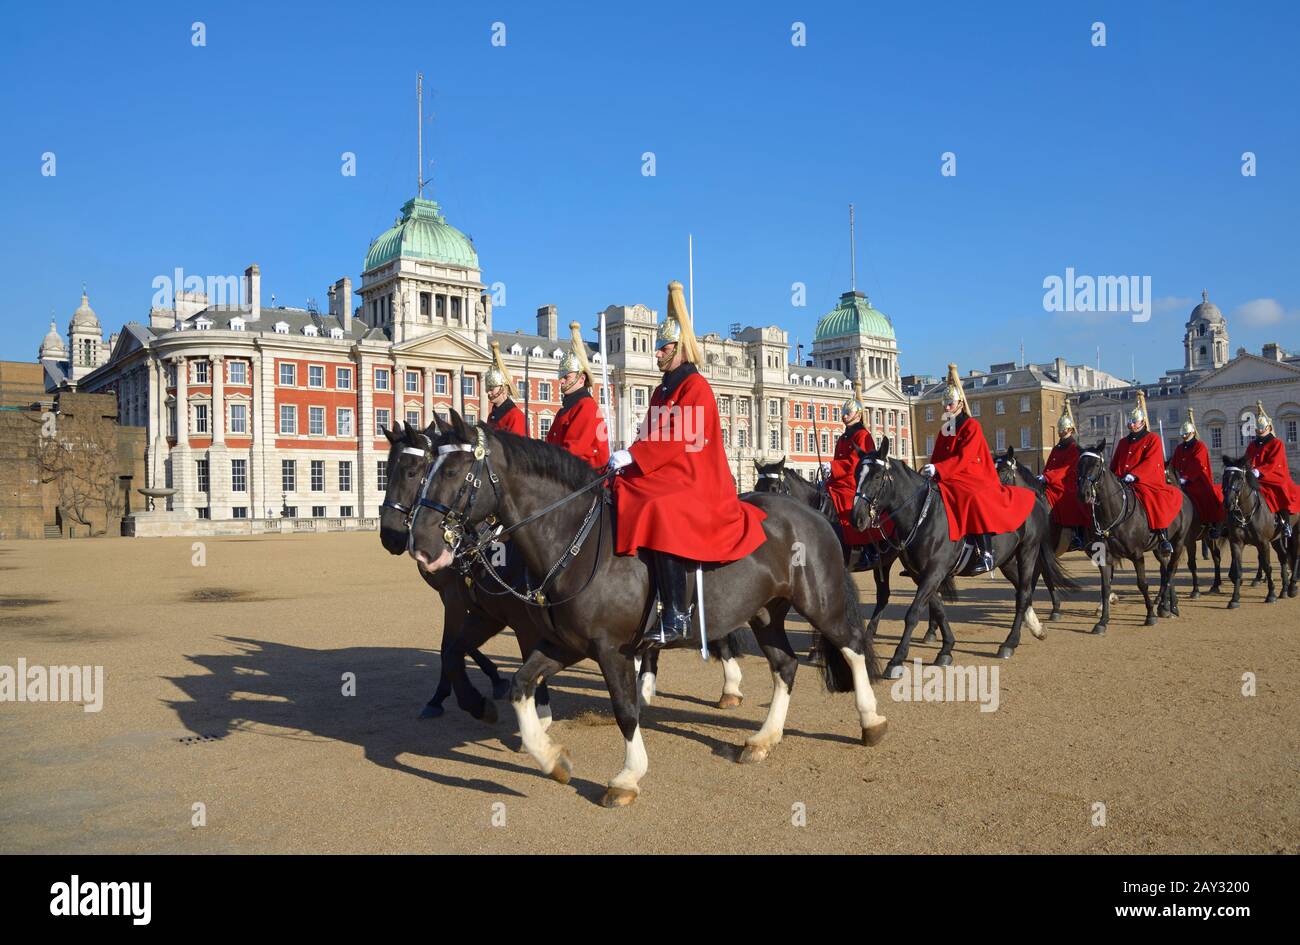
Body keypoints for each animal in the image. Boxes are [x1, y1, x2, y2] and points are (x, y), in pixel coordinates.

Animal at [408, 410, 894, 811]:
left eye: (453, 471)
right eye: (423, 469)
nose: (421, 545)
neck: (577, 540)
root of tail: (810, 514)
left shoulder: (612, 649)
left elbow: (625, 709)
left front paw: (627, 777)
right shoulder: (564, 644)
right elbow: (521, 685)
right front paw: (552, 759)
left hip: (819, 603)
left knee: (851, 647)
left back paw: (871, 721)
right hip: (766, 614)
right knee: (786, 666)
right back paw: (763, 739)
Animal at [852, 434, 1076, 670]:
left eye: (877, 476)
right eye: (857, 474)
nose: (857, 518)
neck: (924, 515)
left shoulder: (935, 571)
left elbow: (913, 613)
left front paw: (897, 658)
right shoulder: (922, 574)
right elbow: (938, 609)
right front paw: (946, 648)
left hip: (1027, 551)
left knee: (1023, 593)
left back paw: (1009, 642)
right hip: (1006, 560)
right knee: (1022, 591)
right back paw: (1035, 627)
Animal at [1071, 441, 1190, 636]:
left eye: (1096, 465)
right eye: (1078, 466)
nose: (1083, 493)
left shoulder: (1137, 555)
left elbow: (1142, 583)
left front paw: (1150, 616)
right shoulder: (1105, 557)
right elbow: (1105, 588)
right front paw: (1102, 621)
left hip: (1178, 543)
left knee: (1171, 571)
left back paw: (1167, 606)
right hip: (1159, 549)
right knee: (1165, 570)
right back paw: (1165, 605)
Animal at [1216, 457, 1300, 605]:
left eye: (1240, 478)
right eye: (1224, 477)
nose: (1228, 503)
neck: (1246, 513)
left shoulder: (1263, 543)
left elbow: (1267, 566)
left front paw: (1271, 595)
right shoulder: (1236, 543)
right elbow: (1238, 569)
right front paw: (1234, 598)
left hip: (1295, 532)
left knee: (1295, 555)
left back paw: (1292, 587)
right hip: (1276, 539)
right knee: (1283, 556)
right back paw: (1284, 590)